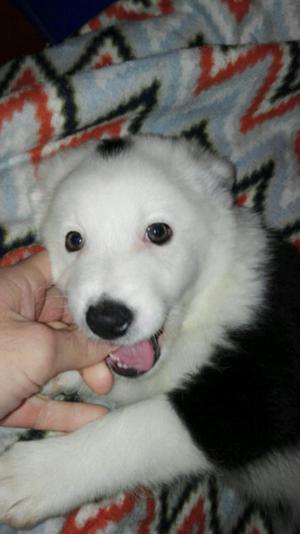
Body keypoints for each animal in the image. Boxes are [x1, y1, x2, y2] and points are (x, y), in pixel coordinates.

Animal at [0, 136, 300, 528]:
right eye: (73, 240)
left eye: (158, 232)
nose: (106, 320)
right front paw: (61, 374)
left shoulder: (259, 391)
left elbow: (141, 426)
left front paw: (32, 475)